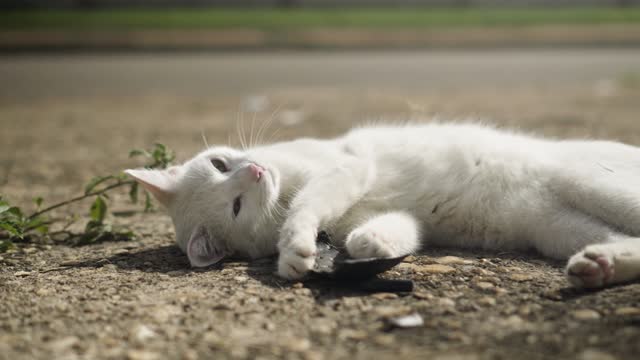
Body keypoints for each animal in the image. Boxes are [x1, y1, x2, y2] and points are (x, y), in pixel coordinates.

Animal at [127, 124, 640, 290]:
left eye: (219, 163)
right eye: (235, 206)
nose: (253, 172)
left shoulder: (346, 168)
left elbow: (307, 204)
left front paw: (293, 247)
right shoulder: (379, 212)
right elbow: (392, 230)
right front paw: (370, 243)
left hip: (595, 186)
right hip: (558, 227)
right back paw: (599, 266)